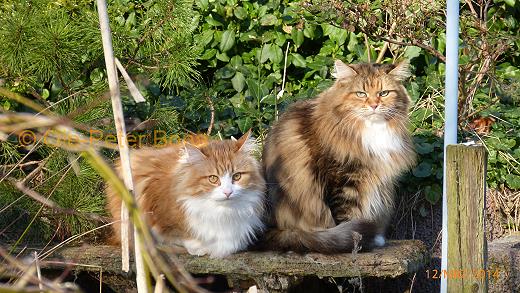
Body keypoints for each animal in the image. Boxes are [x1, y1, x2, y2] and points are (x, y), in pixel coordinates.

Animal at [107, 131, 266, 256]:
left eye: (237, 176)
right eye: (213, 178)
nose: (228, 192)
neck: (222, 213)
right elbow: (178, 236)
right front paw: (199, 247)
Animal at [262, 59, 416, 251]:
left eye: (384, 93)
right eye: (361, 94)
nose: (374, 105)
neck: (371, 130)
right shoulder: (342, 182)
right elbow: (348, 220)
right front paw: (357, 244)